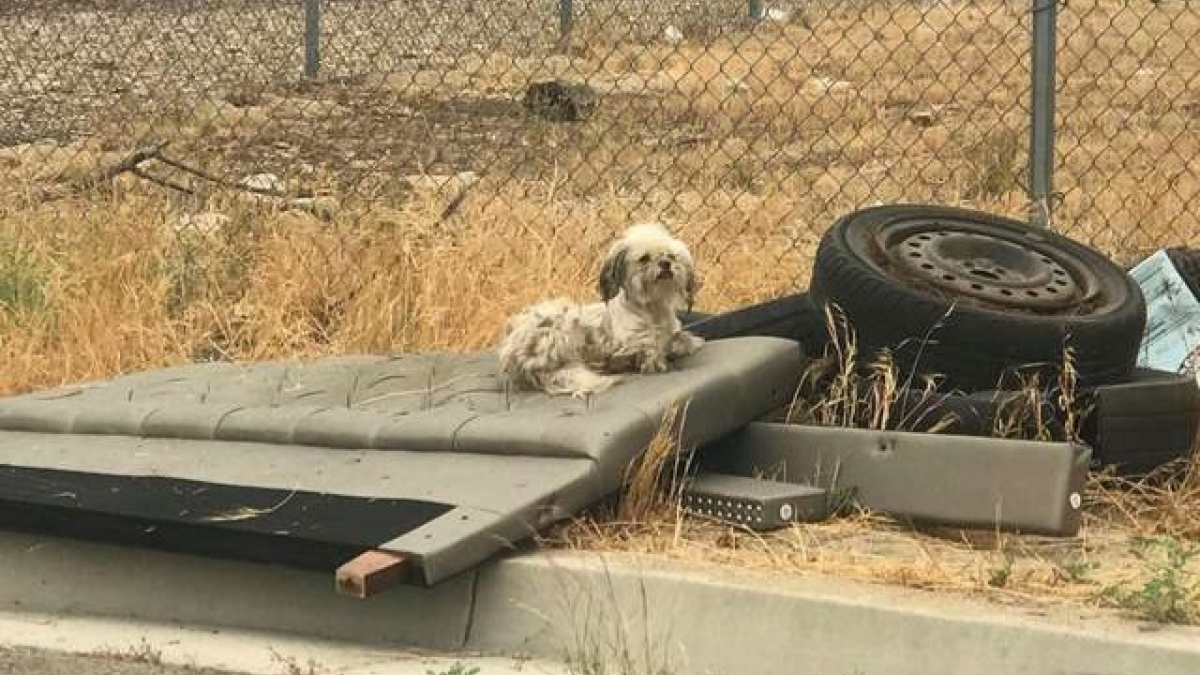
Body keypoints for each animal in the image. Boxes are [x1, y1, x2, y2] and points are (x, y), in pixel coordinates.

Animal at [494, 223, 700, 396]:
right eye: (644, 258)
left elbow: (680, 339)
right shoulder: (626, 345)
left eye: (671, 256)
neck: (653, 310)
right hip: (561, 319)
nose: (665, 263)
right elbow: (649, 349)